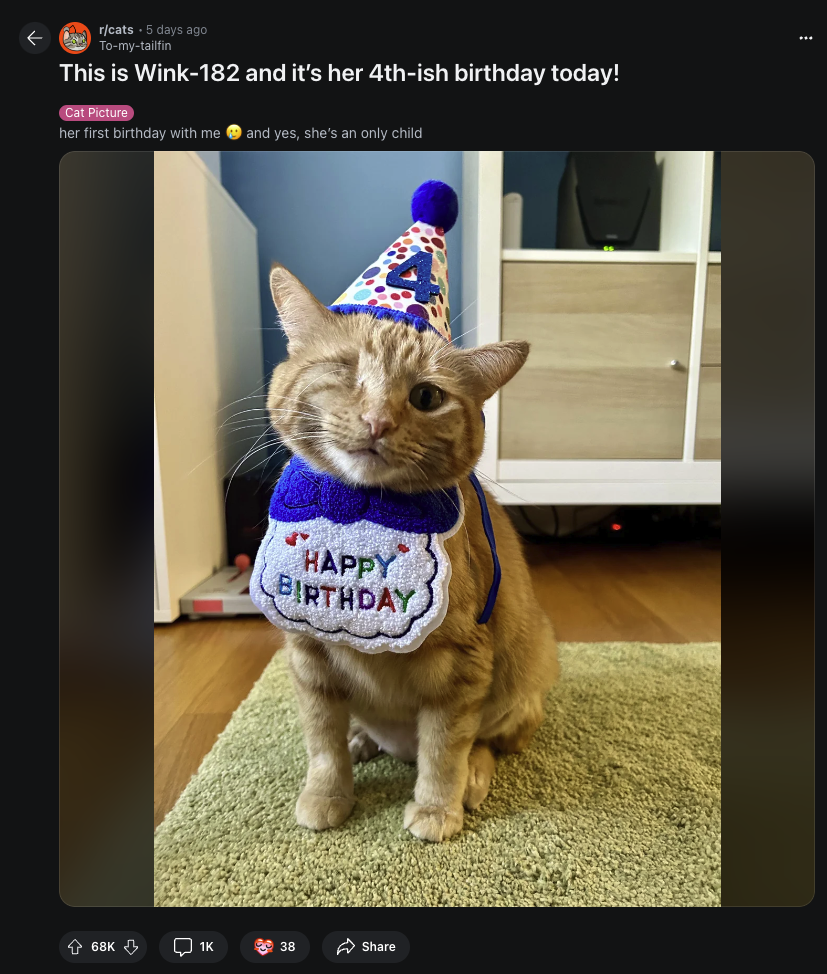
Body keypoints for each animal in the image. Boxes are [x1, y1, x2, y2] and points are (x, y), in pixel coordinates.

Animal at [268, 264, 560, 844]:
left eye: (427, 397)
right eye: (344, 369)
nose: (377, 421)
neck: (361, 516)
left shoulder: (461, 671)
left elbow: (444, 750)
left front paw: (436, 807)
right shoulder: (308, 657)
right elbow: (322, 742)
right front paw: (328, 793)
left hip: (524, 675)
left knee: (486, 742)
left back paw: (473, 778)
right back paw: (362, 739)